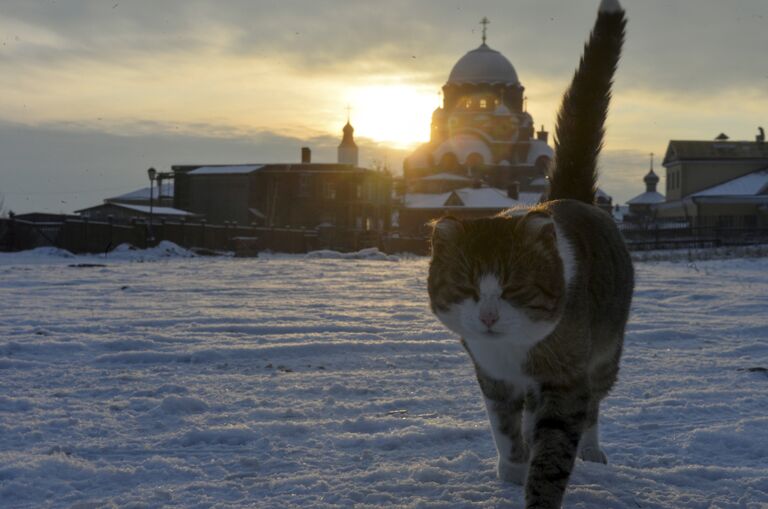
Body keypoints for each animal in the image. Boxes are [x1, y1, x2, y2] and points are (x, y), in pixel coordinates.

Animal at [426, 1, 632, 506]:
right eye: (464, 286)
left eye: (516, 286)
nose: (488, 317)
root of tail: (567, 196)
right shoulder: (493, 377)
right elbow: (506, 431)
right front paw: (511, 470)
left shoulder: (564, 382)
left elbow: (552, 451)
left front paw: (538, 486)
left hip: (605, 357)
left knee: (593, 409)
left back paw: (592, 452)